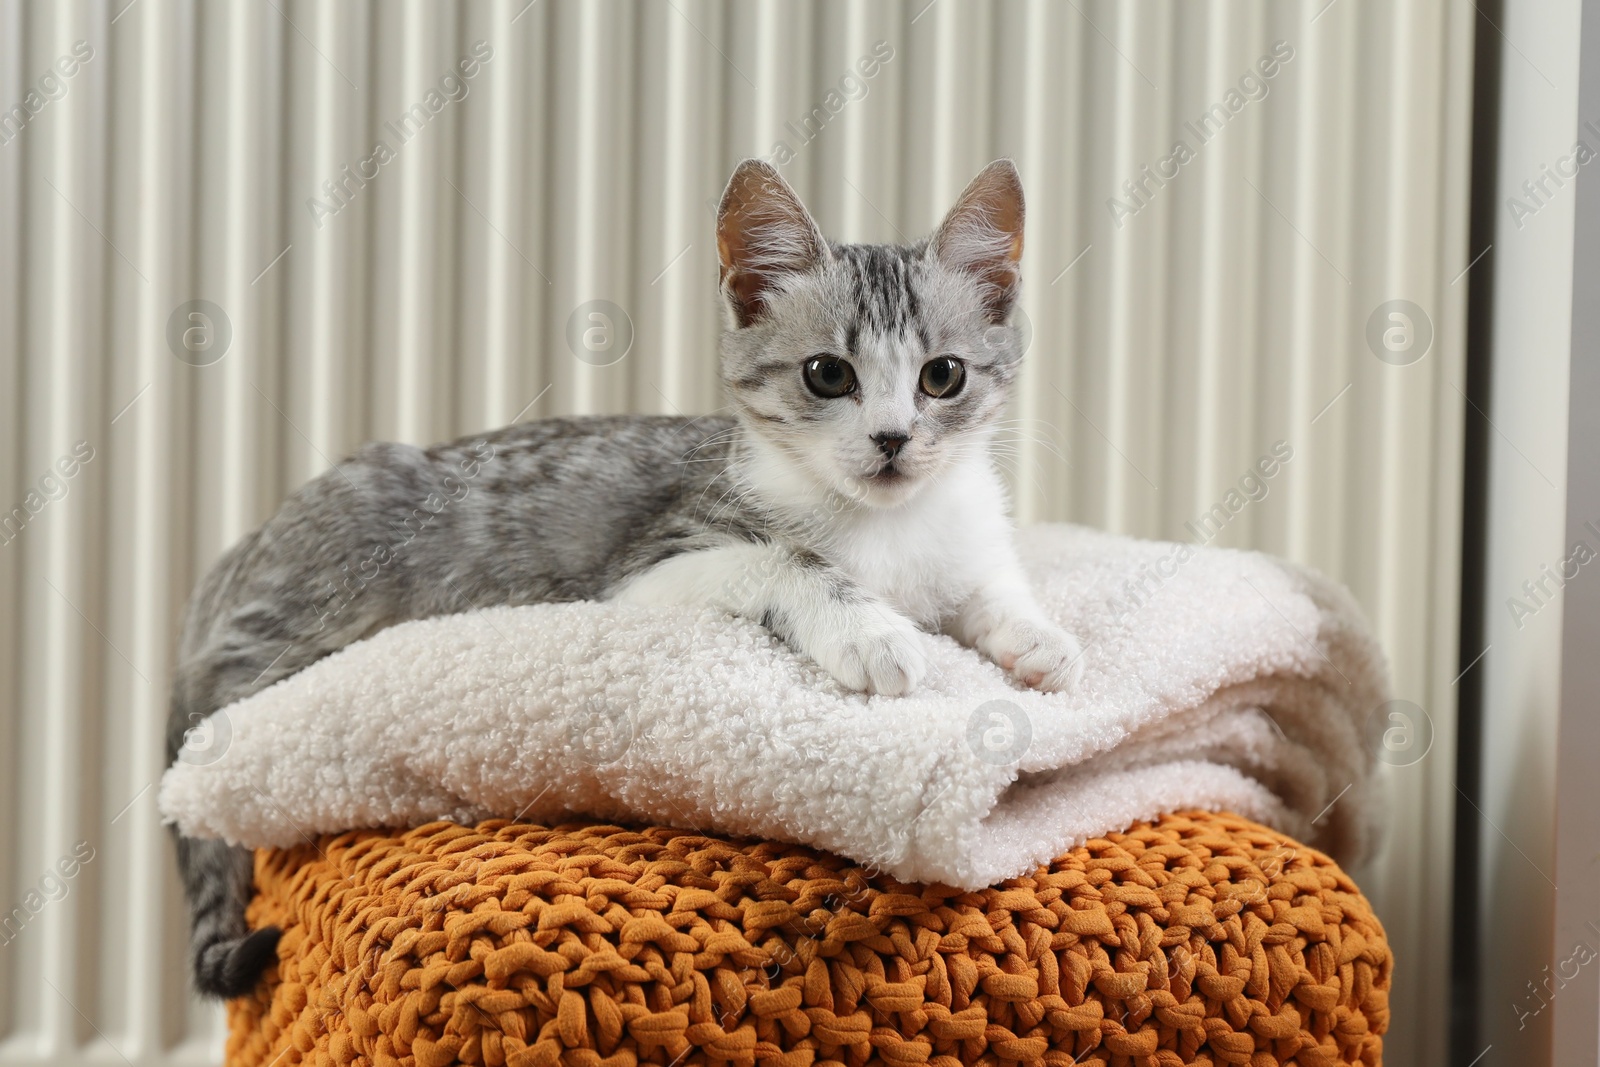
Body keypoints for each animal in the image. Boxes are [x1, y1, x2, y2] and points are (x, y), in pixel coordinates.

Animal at [165, 158, 1088, 1004]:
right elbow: (787, 559)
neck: (889, 525)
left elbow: (991, 589)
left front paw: (1042, 639)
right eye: (829, 374)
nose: (893, 439)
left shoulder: (967, 540)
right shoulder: (653, 564)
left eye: (944, 375)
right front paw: (872, 630)